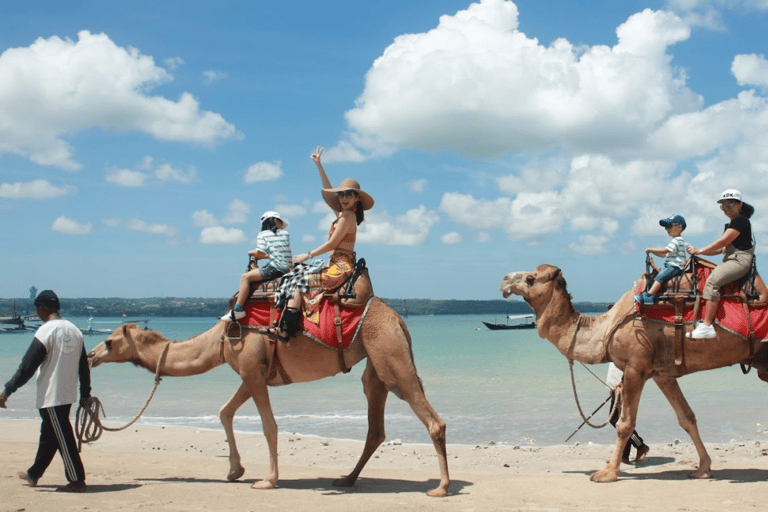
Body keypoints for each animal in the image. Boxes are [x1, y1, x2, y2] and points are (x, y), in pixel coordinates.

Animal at [88, 272, 450, 496]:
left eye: (109, 342)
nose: (90, 355)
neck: (220, 340)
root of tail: (399, 318)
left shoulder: (251, 371)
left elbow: (269, 425)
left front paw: (267, 480)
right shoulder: (252, 374)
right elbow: (225, 411)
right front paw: (234, 470)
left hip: (390, 353)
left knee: (431, 418)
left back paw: (441, 487)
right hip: (376, 364)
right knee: (375, 425)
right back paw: (346, 478)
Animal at [498, 264, 768, 484]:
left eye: (531, 278)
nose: (504, 280)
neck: (606, 328)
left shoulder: (635, 366)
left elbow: (625, 424)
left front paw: (607, 473)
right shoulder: (662, 373)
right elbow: (686, 418)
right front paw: (703, 469)